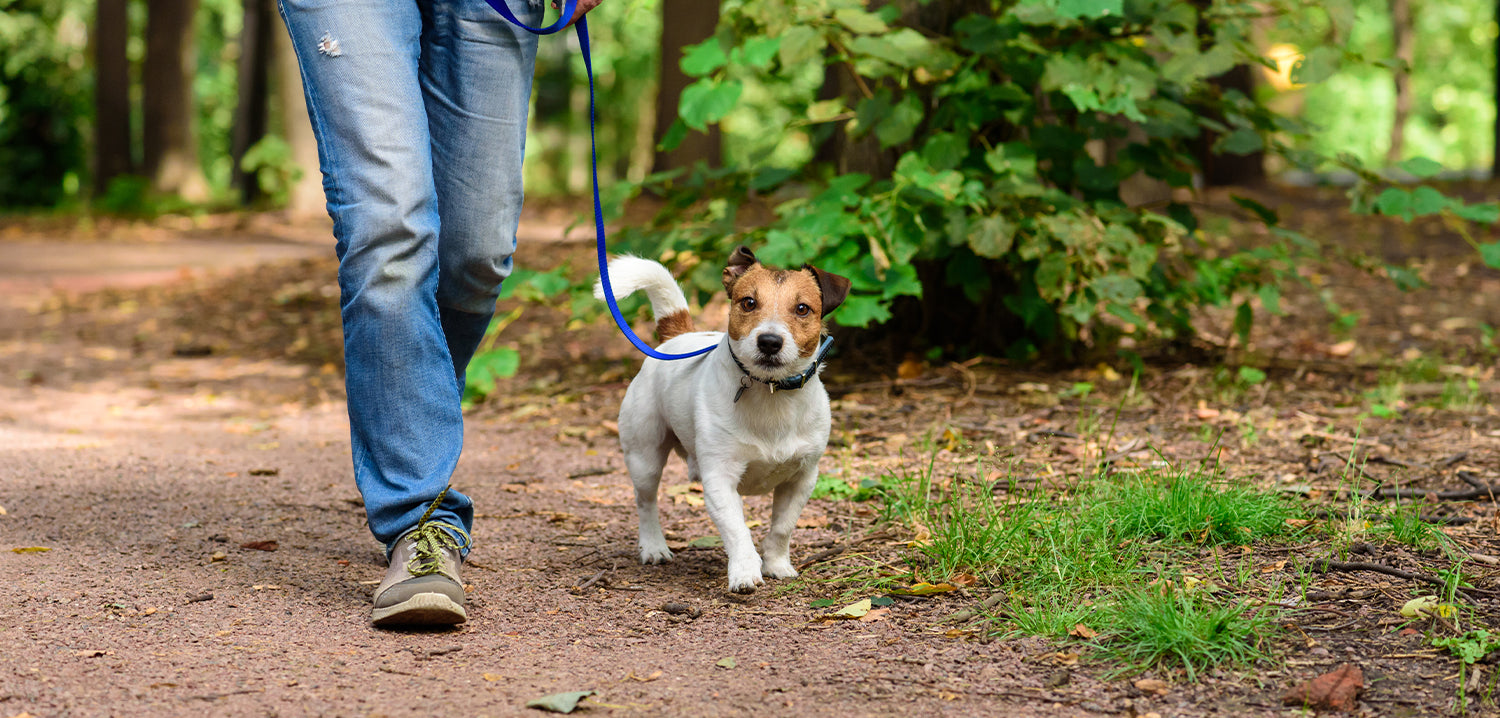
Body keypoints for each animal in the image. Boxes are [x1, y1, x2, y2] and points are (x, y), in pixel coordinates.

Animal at [597, 247, 858, 596]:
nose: (770, 341)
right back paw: (653, 547)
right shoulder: (720, 479)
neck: (770, 393)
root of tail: (679, 335)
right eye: (748, 302)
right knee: (646, 503)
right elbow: (738, 531)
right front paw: (745, 573)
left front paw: (777, 565)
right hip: (644, 457)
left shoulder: (802, 479)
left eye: (803, 308)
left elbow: (782, 527)